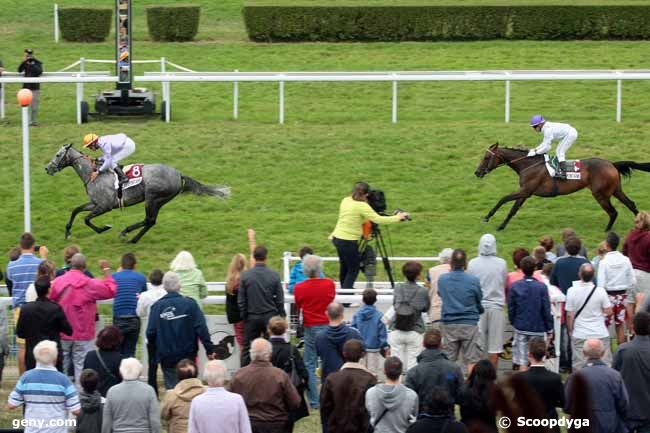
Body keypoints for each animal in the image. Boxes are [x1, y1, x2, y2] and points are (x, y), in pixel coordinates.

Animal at [45, 143, 229, 241]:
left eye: (58, 155)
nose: (47, 168)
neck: (93, 175)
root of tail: (178, 174)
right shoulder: (95, 203)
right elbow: (76, 210)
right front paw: (67, 231)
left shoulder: (104, 206)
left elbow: (86, 219)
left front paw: (103, 228)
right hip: (159, 200)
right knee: (151, 221)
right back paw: (133, 239)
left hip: (152, 198)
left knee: (149, 219)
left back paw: (126, 233)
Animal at [470, 143, 648, 231]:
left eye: (486, 157)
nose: (477, 172)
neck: (528, 165)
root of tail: (611, 164)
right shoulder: (525, 192)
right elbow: (513, 209)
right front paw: (501, 226)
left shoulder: (526, 190)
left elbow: (503, 199)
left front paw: (487, 217)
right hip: (615, 190)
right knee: (631, 204)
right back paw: (642, 226)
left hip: (600, 194)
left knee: (613, 212)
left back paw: (607, 232)